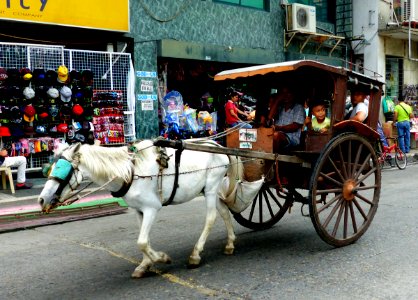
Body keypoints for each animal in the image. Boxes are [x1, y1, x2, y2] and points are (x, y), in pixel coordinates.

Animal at [38, 139, 243, 278]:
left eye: (62, 169)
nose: (41, 200)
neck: (129, 171)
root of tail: (217, 145)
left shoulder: (152, 208)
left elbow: (142, 241)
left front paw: (161, 258)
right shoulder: (139, 210)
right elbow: (144, 239)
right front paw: (145, 264)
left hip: (211, 188)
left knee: (211, 217)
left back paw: (195, 254)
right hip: (211, 189)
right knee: (224, 212)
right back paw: (230, 243)